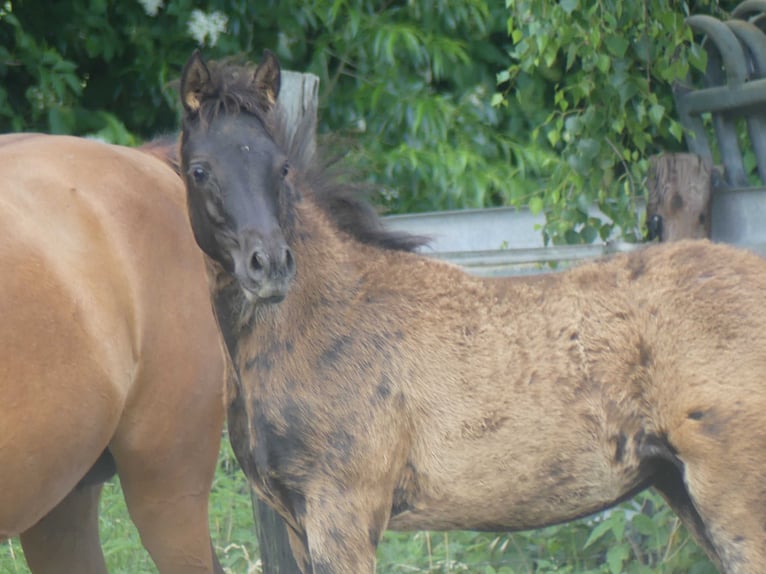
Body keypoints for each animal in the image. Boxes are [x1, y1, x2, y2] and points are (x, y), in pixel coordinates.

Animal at [177, 49, 766, 574]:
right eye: (199, 169)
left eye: (281, 168)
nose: (270, 266)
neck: (320, 320)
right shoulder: (299, 526)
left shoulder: (342, 512)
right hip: (680, 488)